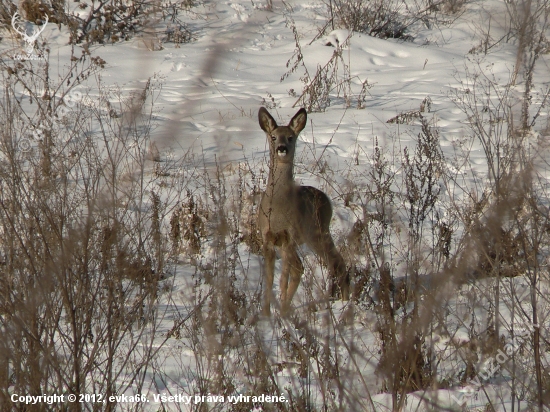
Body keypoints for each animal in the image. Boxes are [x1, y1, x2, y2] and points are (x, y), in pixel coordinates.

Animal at [258, 107, 350, 316]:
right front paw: (265, 314)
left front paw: (280, 312)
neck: (277, 208)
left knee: (334, 261)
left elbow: (286, 276)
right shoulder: (268, 238)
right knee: (313, 265)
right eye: (273, 137)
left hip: (317, 233)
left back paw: (344, 302)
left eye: (291, 137)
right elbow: (269, 279)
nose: (282, 148)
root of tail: (327, 199)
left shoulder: (289, 237)